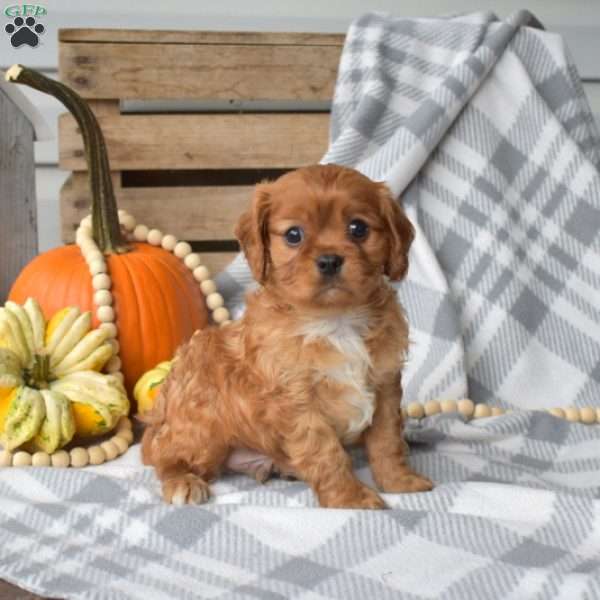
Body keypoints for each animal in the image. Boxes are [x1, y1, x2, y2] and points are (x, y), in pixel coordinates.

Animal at [141, 163, 432, 506]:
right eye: (294, 235)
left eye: (358, 228)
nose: (329, 260)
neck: (334, 321)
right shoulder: (298, 403)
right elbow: (327, 454)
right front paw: (350, 499)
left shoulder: (385, 387)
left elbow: (387, 442)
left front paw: (399, 481)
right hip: (201, 425)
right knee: (166, 455)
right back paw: (182, 481)